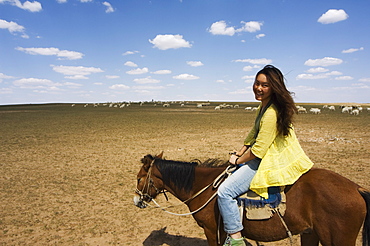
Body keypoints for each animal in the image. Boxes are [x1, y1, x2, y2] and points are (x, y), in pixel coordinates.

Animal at [134, 153, 370, 245]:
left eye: (138, 178)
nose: (136, 200)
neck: (204, 186)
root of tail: (356, 188)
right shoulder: (223, 231)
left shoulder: (210, 229)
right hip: (310, 234)